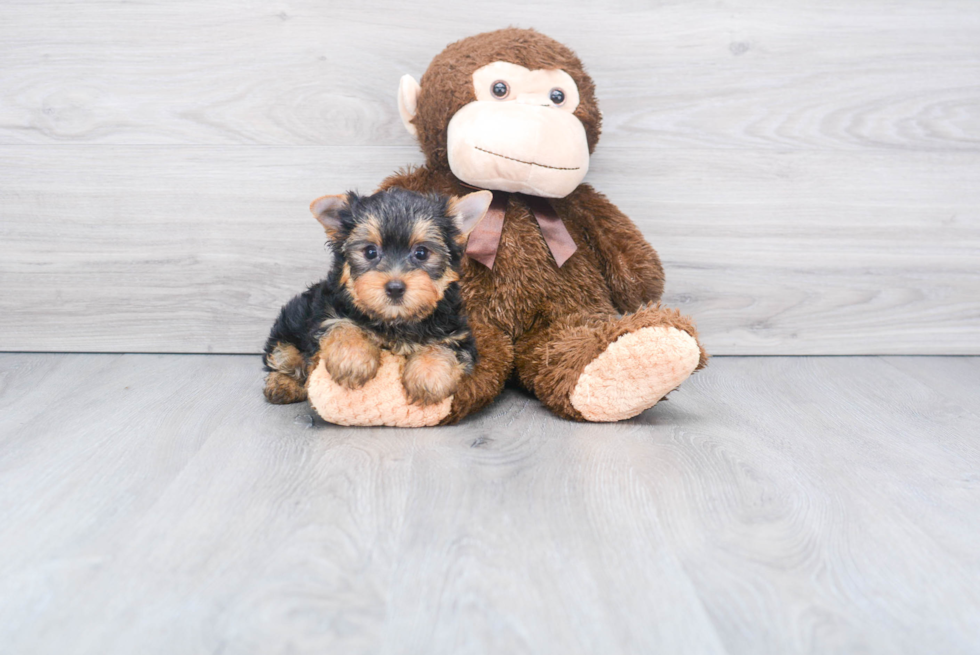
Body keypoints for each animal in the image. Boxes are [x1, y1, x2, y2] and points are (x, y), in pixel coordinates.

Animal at [262, 187, 490, 408]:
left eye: (422, 253)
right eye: (370, 252)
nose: (395, 288)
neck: (395, 322)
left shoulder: (457, 333)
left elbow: (444, 347)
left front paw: (428, 376)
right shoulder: (325, 314)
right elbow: (342, 325)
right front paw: (352, 360)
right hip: (289, 327)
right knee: (283, 357)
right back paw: (282, 385)